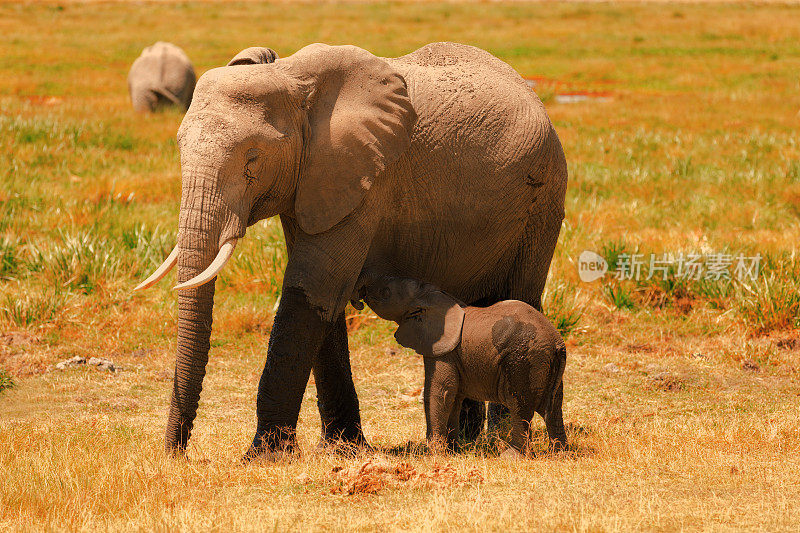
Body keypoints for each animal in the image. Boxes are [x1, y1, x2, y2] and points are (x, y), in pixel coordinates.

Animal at [362, 276, 568, 456]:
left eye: (385, 292)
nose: (361, 291)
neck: (431, 294)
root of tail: (558, 343)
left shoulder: (442, 350)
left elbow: (440, 392)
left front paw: (436, 454)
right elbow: (454, 397)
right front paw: (454, 451)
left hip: (524, 359)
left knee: (519, 405)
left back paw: (512, 457)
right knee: (554, 408)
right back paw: (560, 454)